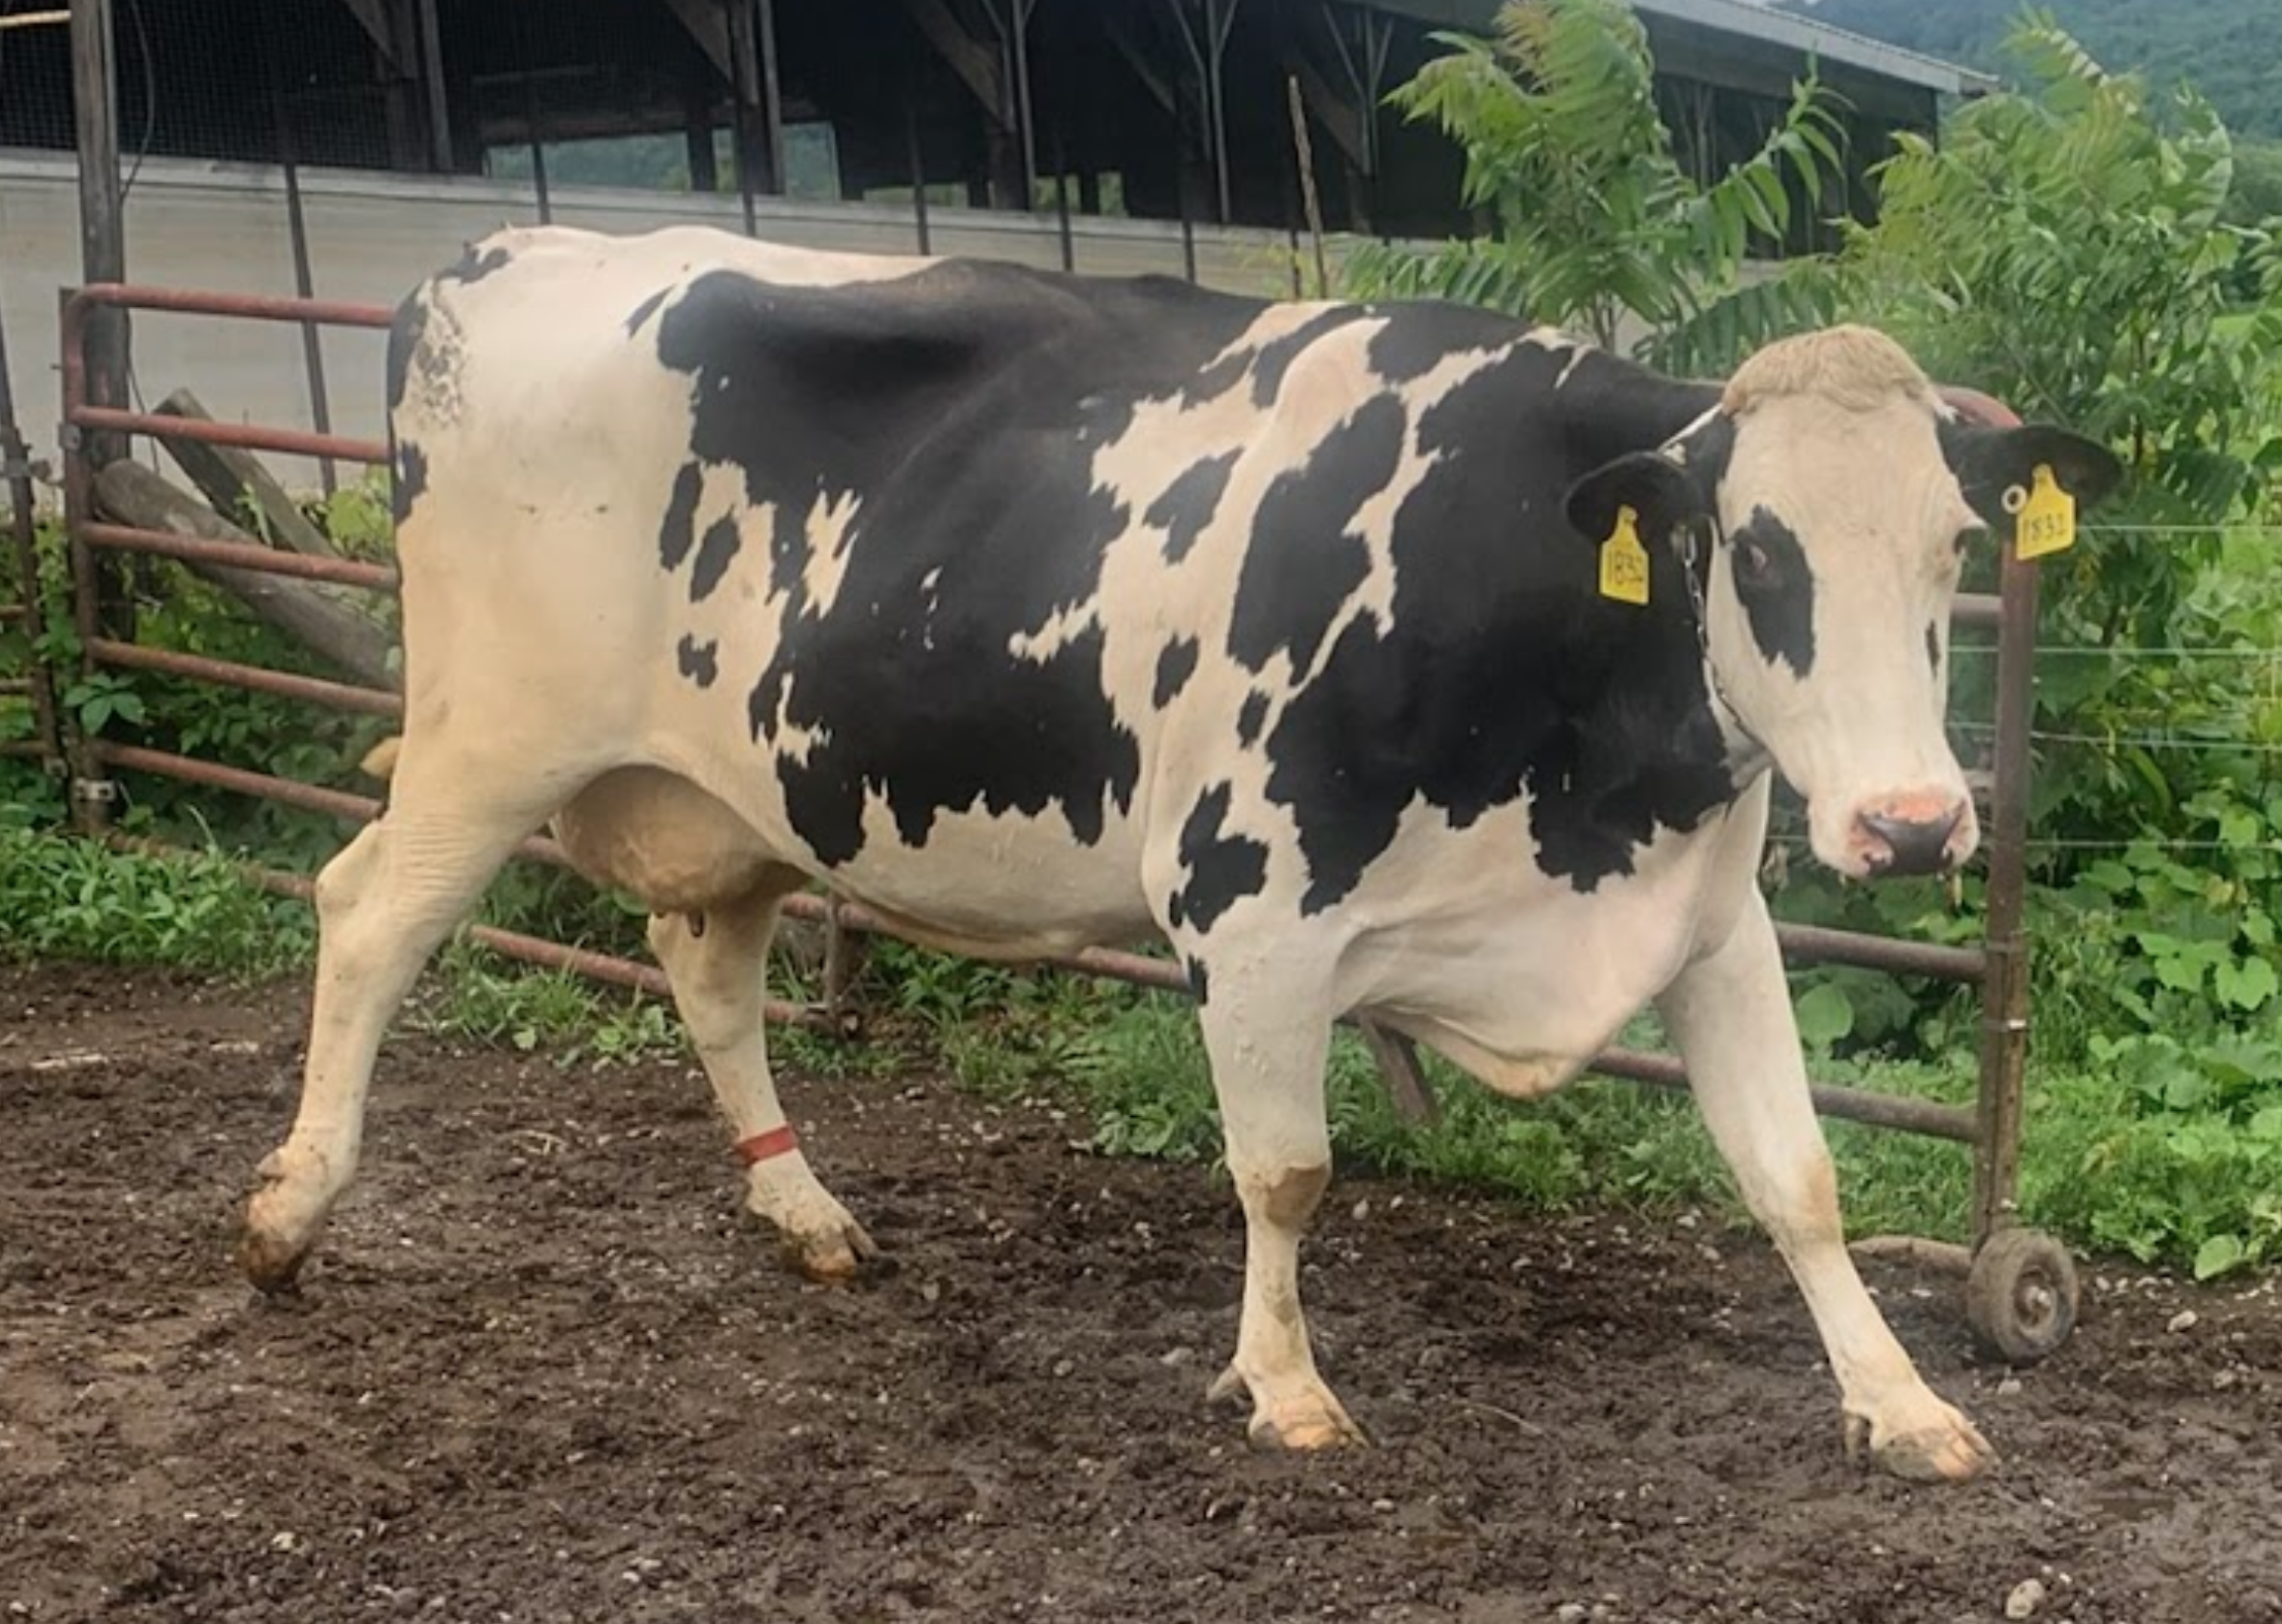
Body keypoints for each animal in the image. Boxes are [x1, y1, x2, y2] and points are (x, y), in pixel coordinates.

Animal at [241, 224, 2119, 1484]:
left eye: (1954, 548)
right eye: (1760, 551)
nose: (1911, 822)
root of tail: (506, 251)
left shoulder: (1707, 925)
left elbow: (1796, 1178)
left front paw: (1900, 1400)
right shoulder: (1249, 914)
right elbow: (1284, 1174)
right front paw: (1280, 1384)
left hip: (741, 789)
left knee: (704, 970)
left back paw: (806, 1209)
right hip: (491, 736)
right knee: (363, 917)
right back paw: (287, 1214)